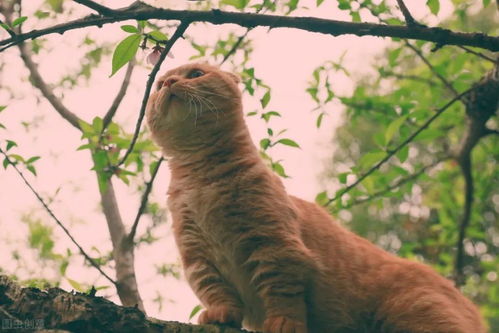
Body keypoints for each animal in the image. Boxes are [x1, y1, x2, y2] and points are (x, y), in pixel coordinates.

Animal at [146, 63, 488, 332]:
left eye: (195, 74)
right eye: (159, 85)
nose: (170, 82)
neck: (202, 180)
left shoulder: (276, 245)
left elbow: (283, 292)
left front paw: (283, 323)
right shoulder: (197, 256)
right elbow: (214, 290)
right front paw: (221, 314)